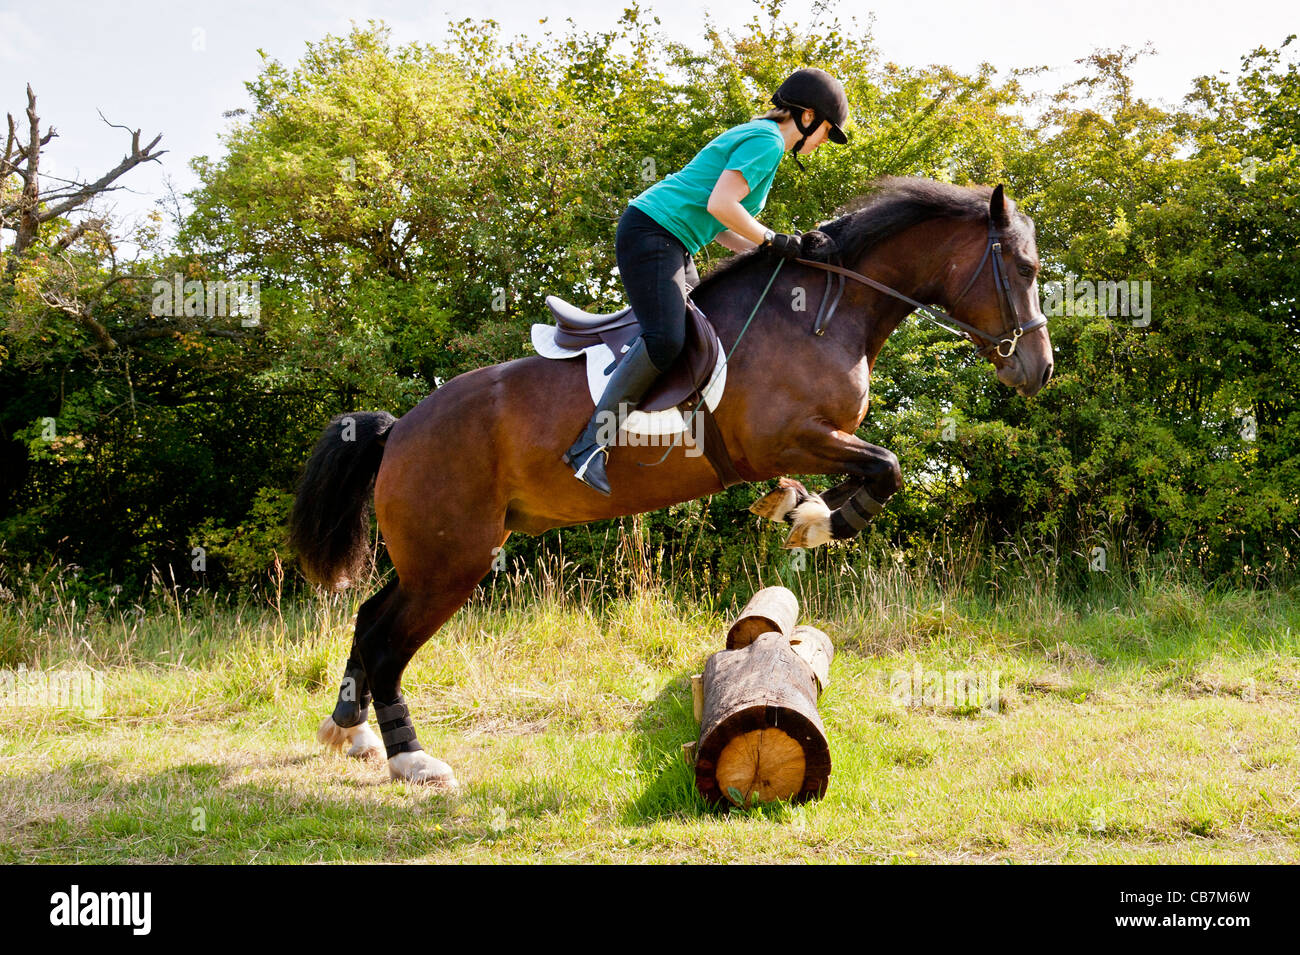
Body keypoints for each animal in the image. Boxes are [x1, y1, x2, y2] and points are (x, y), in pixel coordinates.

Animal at [287, 178, 1055, 784]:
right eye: (1023, 266)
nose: (1039, 369)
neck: (822, 314)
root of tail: (398, 430)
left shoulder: (807, 444)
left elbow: (866, 471)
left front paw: (799, 509)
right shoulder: (787, 435)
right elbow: (885, 466)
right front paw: (815, 520)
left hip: (433, 556)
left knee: (368, 619)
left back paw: (351, 732)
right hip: (453, 560)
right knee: (388, 643)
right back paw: (412, 759)